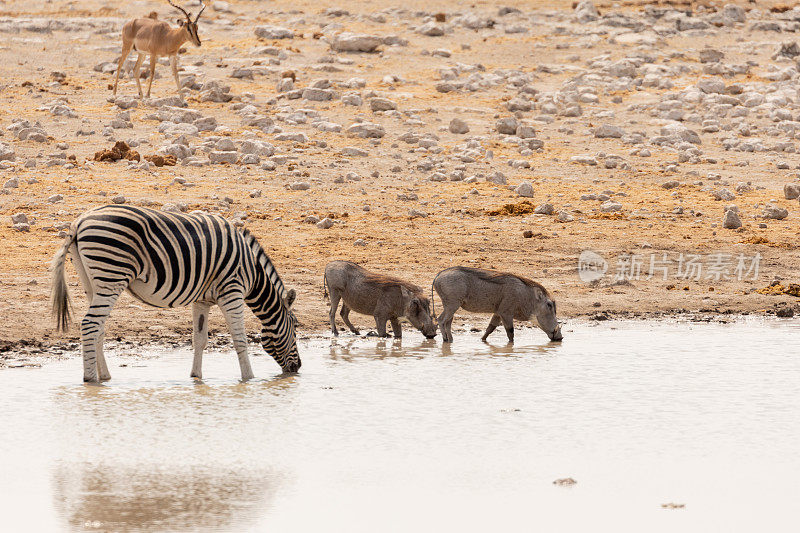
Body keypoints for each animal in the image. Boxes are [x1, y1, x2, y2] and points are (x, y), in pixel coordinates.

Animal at [50, 204, 300, 382]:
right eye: (296, 327)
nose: (298, 368)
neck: (253, 272)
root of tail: (78, 222)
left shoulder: (202, 299)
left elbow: (200, 340)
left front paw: (196, 377)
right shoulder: (232, 291)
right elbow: (240, 339)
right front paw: (249, 379)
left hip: (92, 282)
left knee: (98, 328)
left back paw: (104, 377)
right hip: (112, 274)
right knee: (90, 324)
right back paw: (90, 379)